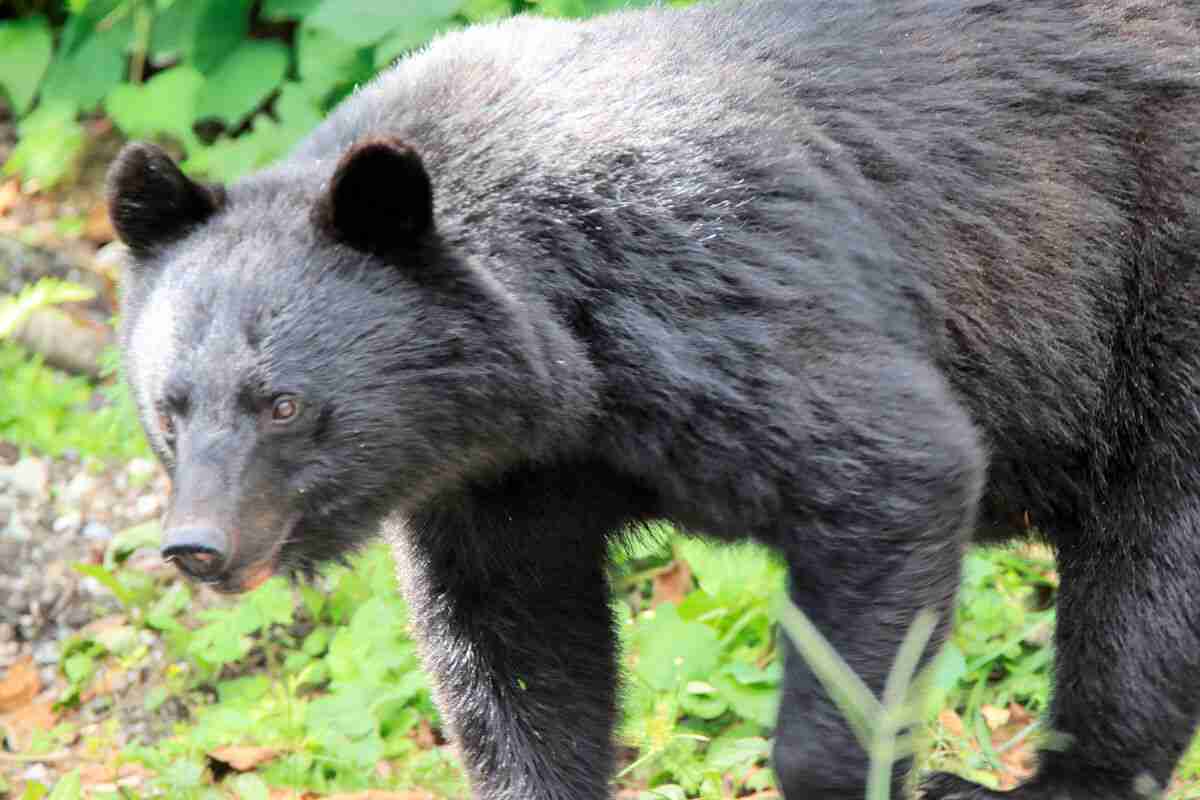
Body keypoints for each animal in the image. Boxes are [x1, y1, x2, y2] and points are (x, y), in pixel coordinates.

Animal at [105, 1, 1200, 798]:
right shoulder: (498, 480)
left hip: (1154, 294)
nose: (197, 545)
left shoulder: (709, 292)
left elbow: (894, 467)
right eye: (170, 409)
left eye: (283, 403)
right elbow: (514, 651)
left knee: (1148, 567)